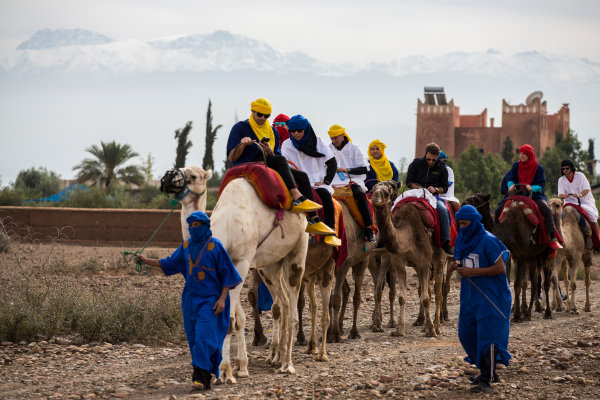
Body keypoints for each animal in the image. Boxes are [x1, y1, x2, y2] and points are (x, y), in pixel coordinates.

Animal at [210, 177, 310, 382]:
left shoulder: (242, 261)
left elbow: (230, 318)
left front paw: (225, 371)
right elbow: (235, 316)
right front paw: (234, 368)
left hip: (299, 249)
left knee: (293, 307)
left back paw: (287, 364)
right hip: (269, 265)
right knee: (283, 303)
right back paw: (278, 356)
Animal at [368, 180, 448, 336]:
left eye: (387, 191)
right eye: (373, 189)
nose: (375, 197)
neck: (407, 235)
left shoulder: (424, 262)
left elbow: (425, 298)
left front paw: (430, 329)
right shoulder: (398, 261)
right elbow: (401, 297)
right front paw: (399, 329)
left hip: (440, 258)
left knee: (438, 292)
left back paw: (437, 326)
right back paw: (422, 323)